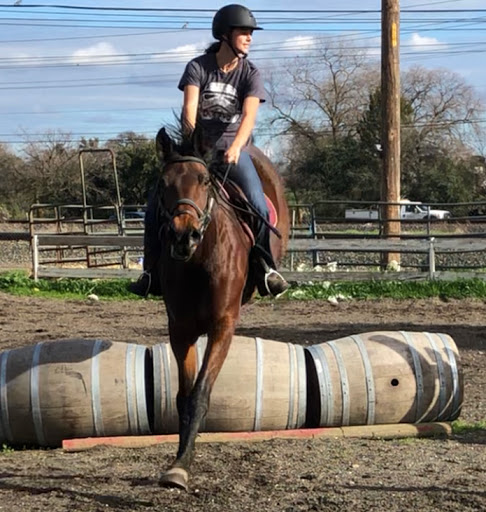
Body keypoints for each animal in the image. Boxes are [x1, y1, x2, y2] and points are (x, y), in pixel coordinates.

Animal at [152, 127, 288, 488]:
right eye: (163, 182)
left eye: (203, 180)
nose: (183, 235)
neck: (198, 261)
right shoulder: (180, 330)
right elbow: (183, 397)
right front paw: (179, 459)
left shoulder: (222, 326)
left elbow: (200, 393)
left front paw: (182, 464)